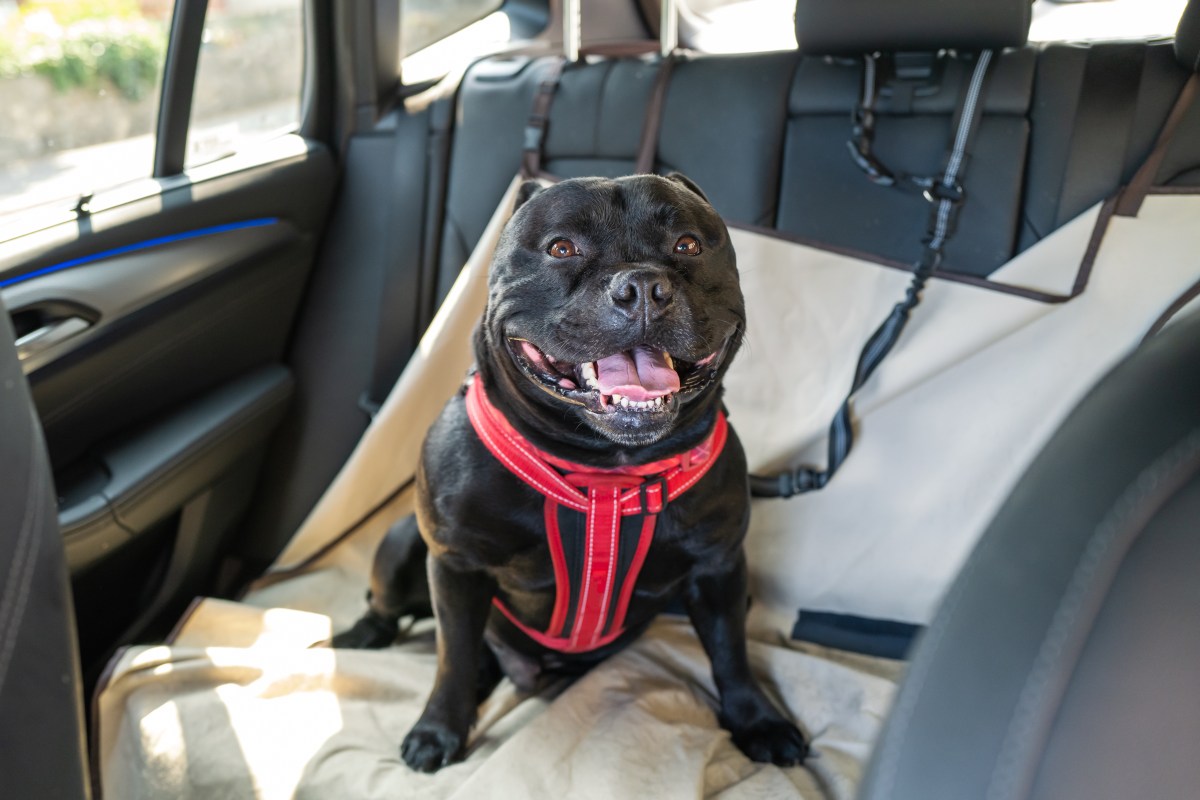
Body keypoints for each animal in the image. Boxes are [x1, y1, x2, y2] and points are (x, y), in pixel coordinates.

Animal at [333, 173, 811, 767]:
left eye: (688, 245)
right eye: (562, 248)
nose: (643, 287)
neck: (605, 469)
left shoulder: (718, 567)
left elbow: (731, 652)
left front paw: (757, 719)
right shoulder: (456, 565)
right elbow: (452, 656)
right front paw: (438, 729)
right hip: (403, 542)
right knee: (389, 605)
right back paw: (363, 636)